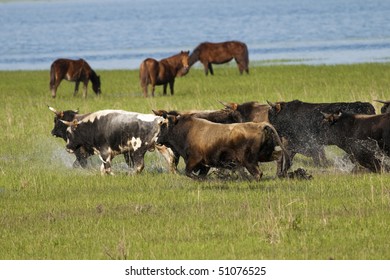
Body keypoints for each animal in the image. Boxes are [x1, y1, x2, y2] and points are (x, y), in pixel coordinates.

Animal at [155, 113, 290, 180]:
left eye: (163, 126)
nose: (157, 139)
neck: (187, 130)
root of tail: (260, 125)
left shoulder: (195, 159)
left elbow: (189, 172)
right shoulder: (205, 164)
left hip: (249, 160)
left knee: (258, 173)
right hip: (264, 155)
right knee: (278, 156)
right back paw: (279, 174)